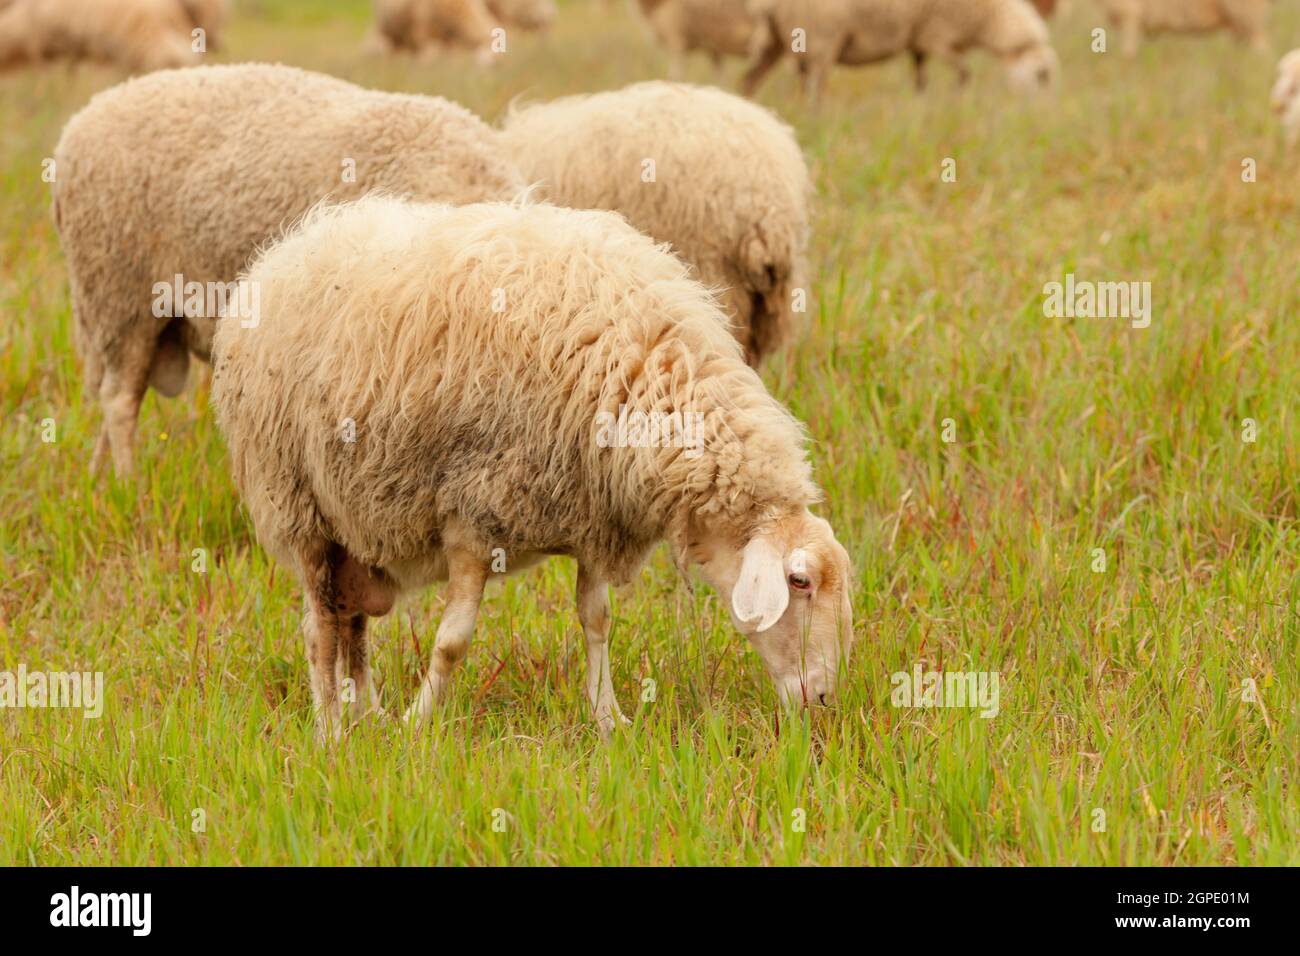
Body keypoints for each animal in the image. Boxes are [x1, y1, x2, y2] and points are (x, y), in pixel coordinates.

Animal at [210, 195, 855, 742]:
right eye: (798, 582)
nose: (825, 701)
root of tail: (296, 241)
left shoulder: (593, 517)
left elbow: (597, 621)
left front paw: (608, 719)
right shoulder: (473, 517)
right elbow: (451, 641)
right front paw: (419, 725)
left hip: (355, 529)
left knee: (352, 627)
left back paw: (367, 718)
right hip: (300, 505)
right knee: (321, 631)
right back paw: (331, 733)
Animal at [743, 0, 1060, 103]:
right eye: (1041, 75)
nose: (1041, 109)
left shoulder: (919, 41)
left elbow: (921, 77)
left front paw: (921, 103)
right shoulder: (936, 35)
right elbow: (964, 72)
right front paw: (957, 100)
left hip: (777, 41)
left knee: (750, 78)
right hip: (821, 35)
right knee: (815, 84)